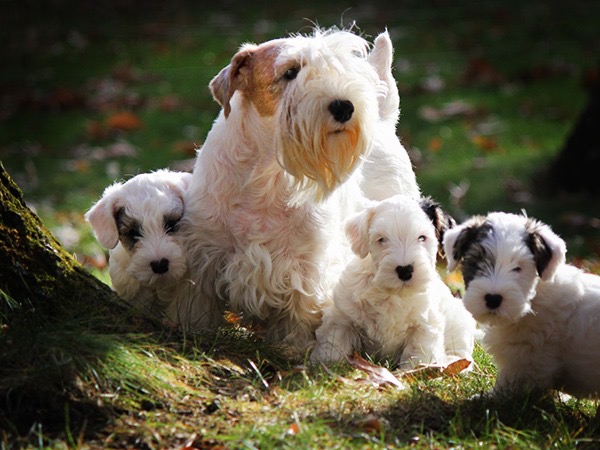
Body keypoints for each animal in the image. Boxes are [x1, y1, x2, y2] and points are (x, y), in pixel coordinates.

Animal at [312, 195, 476, 368]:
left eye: (422, 237)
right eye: (382, 239)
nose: (405, 270)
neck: (392, 294)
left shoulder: (424, 328)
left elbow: (417, 356)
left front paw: (414, 371)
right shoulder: (342, 318)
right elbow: (334, 343)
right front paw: (328, 366)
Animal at [442, 211, 600, 398]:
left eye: (518, 268)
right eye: (477, 262)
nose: (493, 299)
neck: (532, 302)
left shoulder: (526, 363)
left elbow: (508, 386)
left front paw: (486, 398)